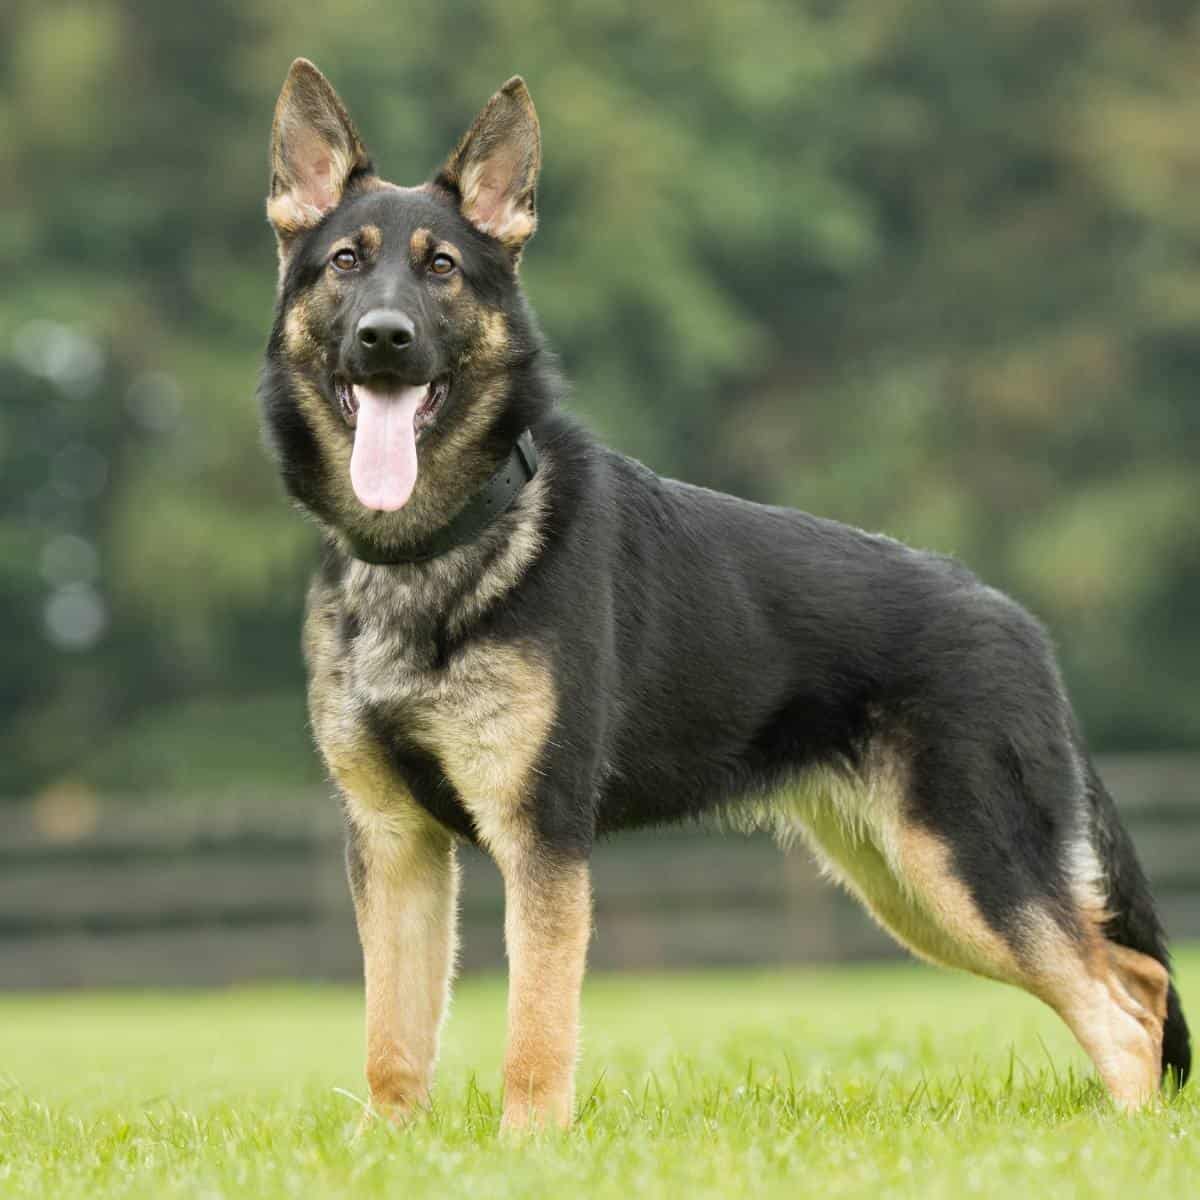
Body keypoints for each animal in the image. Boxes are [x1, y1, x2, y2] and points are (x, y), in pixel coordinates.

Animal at [258, 56, 1185, 1123]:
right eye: (345, 262)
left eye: (441, 267)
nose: (384, 337)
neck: (433, 548)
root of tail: (1018, 622)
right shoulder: (396, 846)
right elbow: (393, 1042)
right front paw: (397, 1143)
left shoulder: (542, 841)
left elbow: (536, 1034)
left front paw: (529, 1142)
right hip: (910, 887)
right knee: (1137, 976)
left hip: (966, 871)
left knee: (1123, 1001)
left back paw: (1129, 1134)